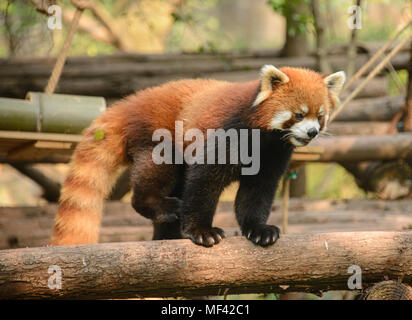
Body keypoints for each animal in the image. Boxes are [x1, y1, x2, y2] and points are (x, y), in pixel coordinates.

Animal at [53, 65, 346, 248]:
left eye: (320, 116)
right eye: (298, 114)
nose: (312, 132)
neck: (264, 139)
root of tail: (128, 103)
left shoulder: (273, 156)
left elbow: (257, 193)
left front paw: (259, 230)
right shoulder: (226, 133)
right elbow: (204, 182)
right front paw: (202, 232)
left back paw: (166, 235)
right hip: (158, 136)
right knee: (155, 174)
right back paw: (160, 206)